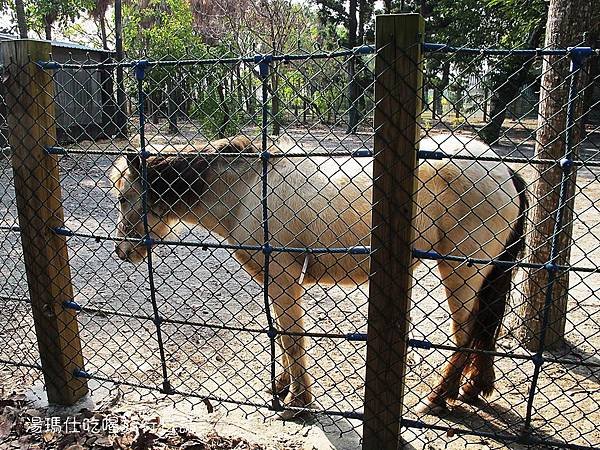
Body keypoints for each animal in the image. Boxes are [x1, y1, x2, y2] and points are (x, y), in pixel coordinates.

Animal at [111, 134, 524, 418]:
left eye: (122, 198)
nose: (122, 252)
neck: (247, 192)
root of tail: (503, 168)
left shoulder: (283, 279)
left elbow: (293, 338)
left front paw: (297, 402)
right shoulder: (274, 282)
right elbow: (282, 333)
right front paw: (281, 386)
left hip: (459, 272)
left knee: (467, 331)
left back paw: (438, 398)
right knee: (483, 328)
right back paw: (471, 388)